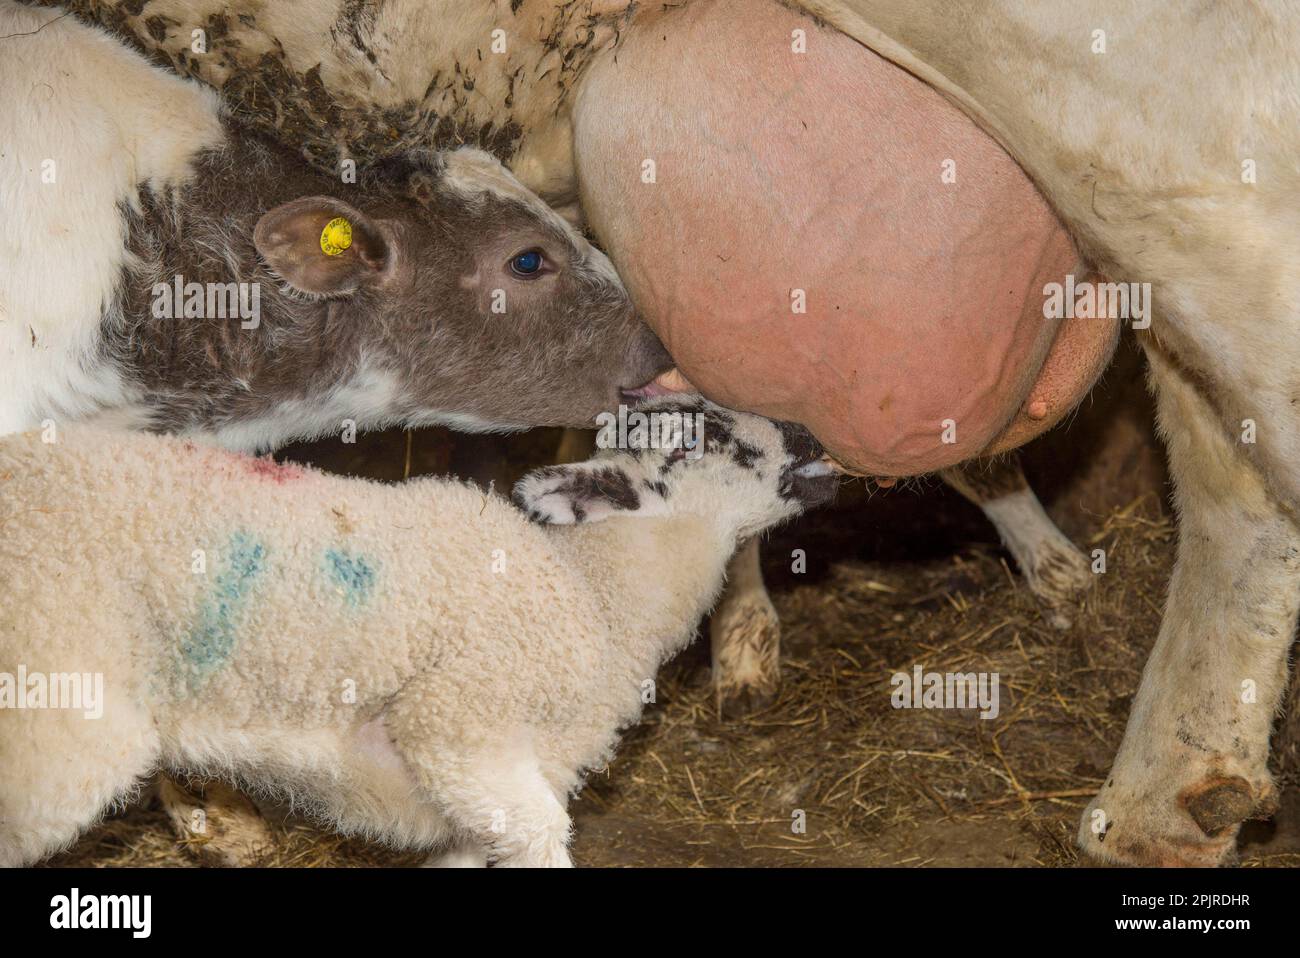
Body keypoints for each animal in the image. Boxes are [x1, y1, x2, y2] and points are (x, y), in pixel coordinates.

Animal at [0, 398, 837, 867]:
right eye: (701, 440)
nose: (808, 434)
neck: (594, 598)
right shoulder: (459, 727)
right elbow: (544, 838)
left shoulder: (471, 805)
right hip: (60, 705)